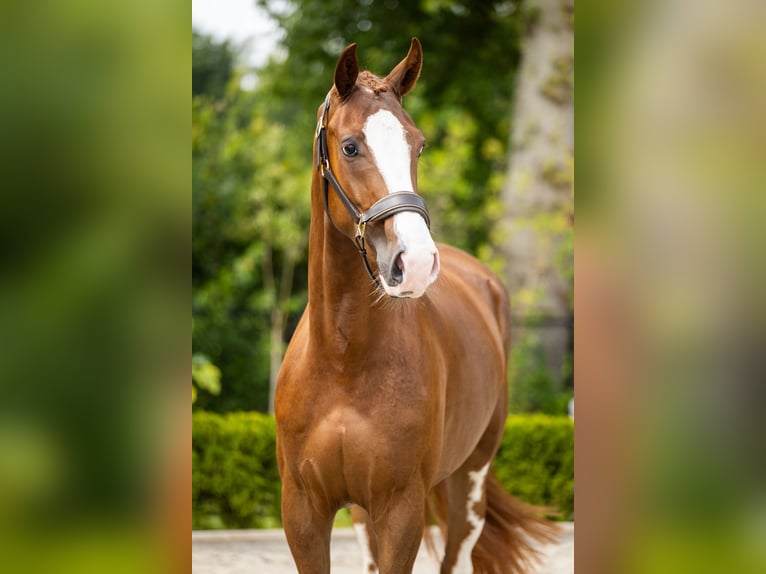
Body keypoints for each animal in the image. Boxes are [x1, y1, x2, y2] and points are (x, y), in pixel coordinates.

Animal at [274, 38, 558, 574]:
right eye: (350, 146)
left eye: (418, 145)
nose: (419, 261)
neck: (343, 360)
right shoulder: (304, 511)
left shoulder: (401, 509)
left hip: (469, 485)